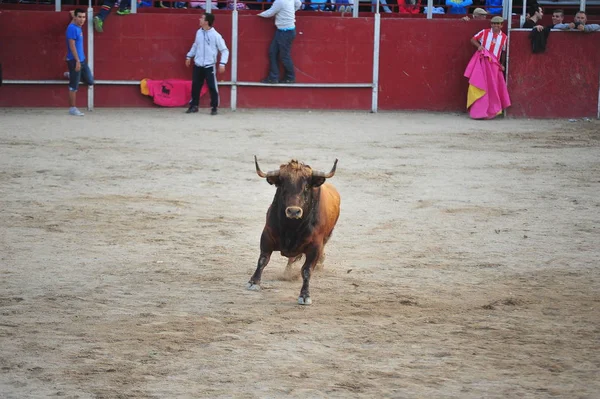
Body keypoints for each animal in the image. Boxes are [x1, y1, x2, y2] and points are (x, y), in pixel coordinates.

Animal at [248, 157, 342, 306]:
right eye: (283, 186)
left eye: (306, 187)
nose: (293, 211)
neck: (291, 227)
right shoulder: (266, 235)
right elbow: (263, 259)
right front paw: (254, 282)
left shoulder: (315, 246)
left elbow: (307, 270)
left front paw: (305, 295)